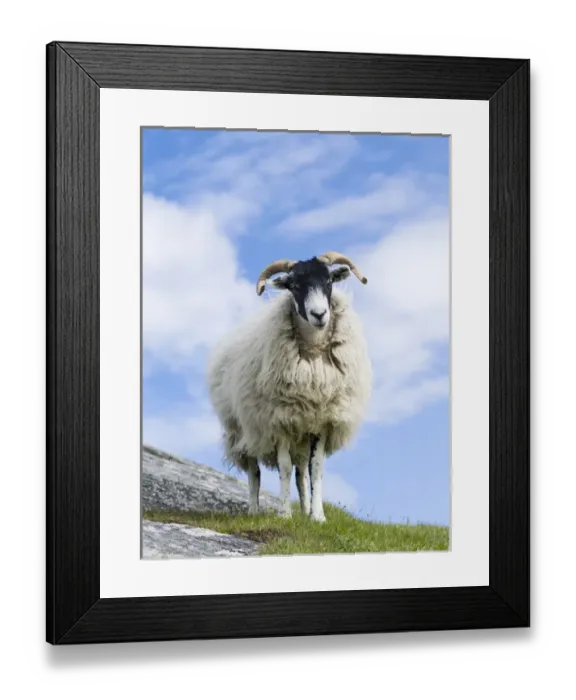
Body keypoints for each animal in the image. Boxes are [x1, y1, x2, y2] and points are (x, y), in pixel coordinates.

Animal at [206, 251, 372, 523]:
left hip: (299, 435)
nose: (319, 314)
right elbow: (283, 467)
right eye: (294, 286)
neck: (313, 355)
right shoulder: (280, 419)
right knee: (254, 471)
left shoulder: (321, 421)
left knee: (300, 474)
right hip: (245, 428)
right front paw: (284, 513)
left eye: (329, 281)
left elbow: (315, 470)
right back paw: (253, 509)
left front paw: (317, 516)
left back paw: (304, 510)